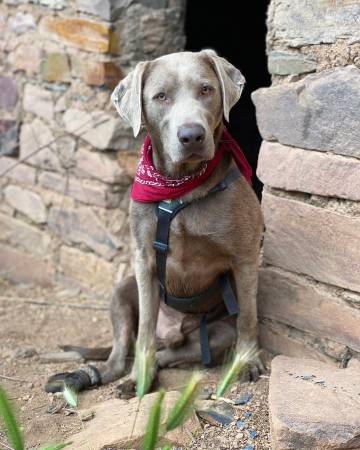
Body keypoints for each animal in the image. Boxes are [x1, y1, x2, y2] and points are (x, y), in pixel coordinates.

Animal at [45, 48, 264, 394]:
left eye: (206, 89)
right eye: (161, 96)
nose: (191, 135)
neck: (179, 189)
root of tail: (174, 332)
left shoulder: (244, 257)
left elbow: (248, 318)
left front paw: (247, 362)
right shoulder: (144, 260)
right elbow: (145, 328)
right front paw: (140, 378)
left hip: (216, 333)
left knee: (176, 351)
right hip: (122, 290)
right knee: (122, 354)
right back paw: (96, 375)